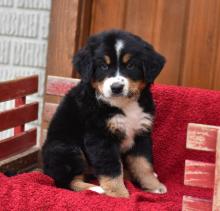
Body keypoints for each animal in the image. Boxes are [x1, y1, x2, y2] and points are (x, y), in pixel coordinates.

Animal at [42, 29, 168, 198]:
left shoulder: (142, 133)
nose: (116, 87)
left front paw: (153, 185)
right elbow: (112, 168)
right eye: (103, 66)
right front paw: (119, 194)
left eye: (131, 65)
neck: (124, 104)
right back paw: (96, 189)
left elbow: (144, 164)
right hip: (66, 148)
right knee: (66, 182)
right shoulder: (100, 136)